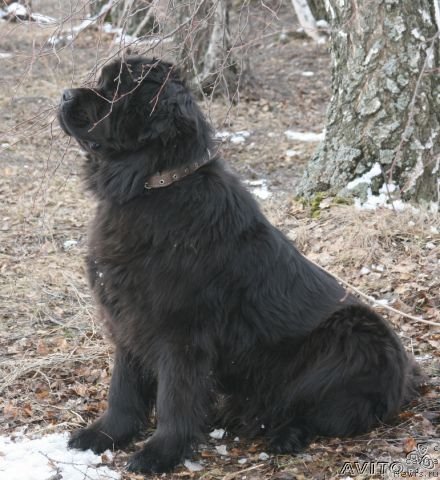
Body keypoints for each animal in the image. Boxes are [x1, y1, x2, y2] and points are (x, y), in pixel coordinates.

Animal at [57, 56, 420, 472]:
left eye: (116, 89)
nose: (64, 94)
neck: (154, 185)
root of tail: (407, 379)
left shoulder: (181, 332)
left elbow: (174, 397)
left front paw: (160, 453)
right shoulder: (127, 317)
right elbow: (123, 387)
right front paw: (104, 435)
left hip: (357, 334)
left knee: (319, 411)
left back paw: (283, 434)